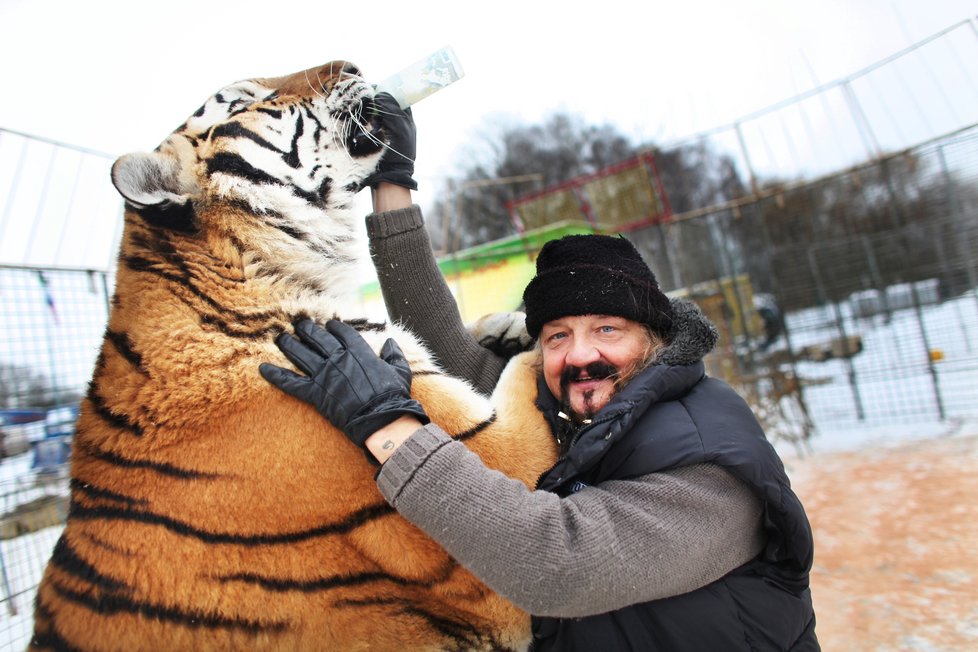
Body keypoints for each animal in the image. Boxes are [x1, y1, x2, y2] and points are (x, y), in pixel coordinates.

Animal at [28, 61, 556, 652]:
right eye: (242, 98)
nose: (352, 65)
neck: (266, 270)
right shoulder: (496, 468)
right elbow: (526, 377)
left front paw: (505, 325)